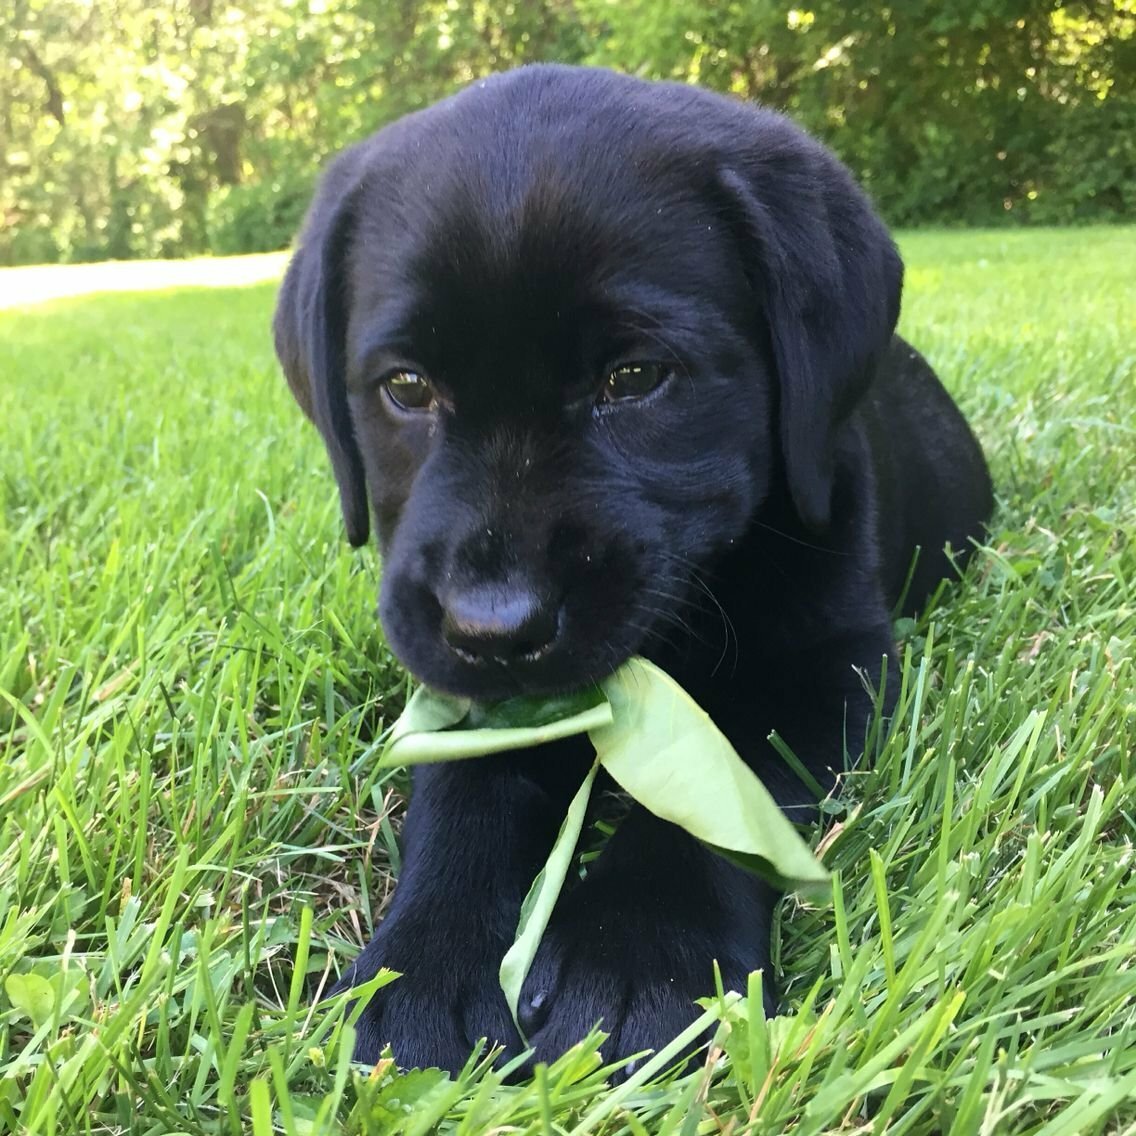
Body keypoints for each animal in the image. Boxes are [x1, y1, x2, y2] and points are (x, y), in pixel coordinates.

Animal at [274, 62, 995, 1072]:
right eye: (406, 388)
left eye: (636, 377)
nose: (492, 626)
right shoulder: (466, 697)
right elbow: (464, 793)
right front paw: (428, 966)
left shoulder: (829, 662)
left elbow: (723, 786)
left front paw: (638, 953)